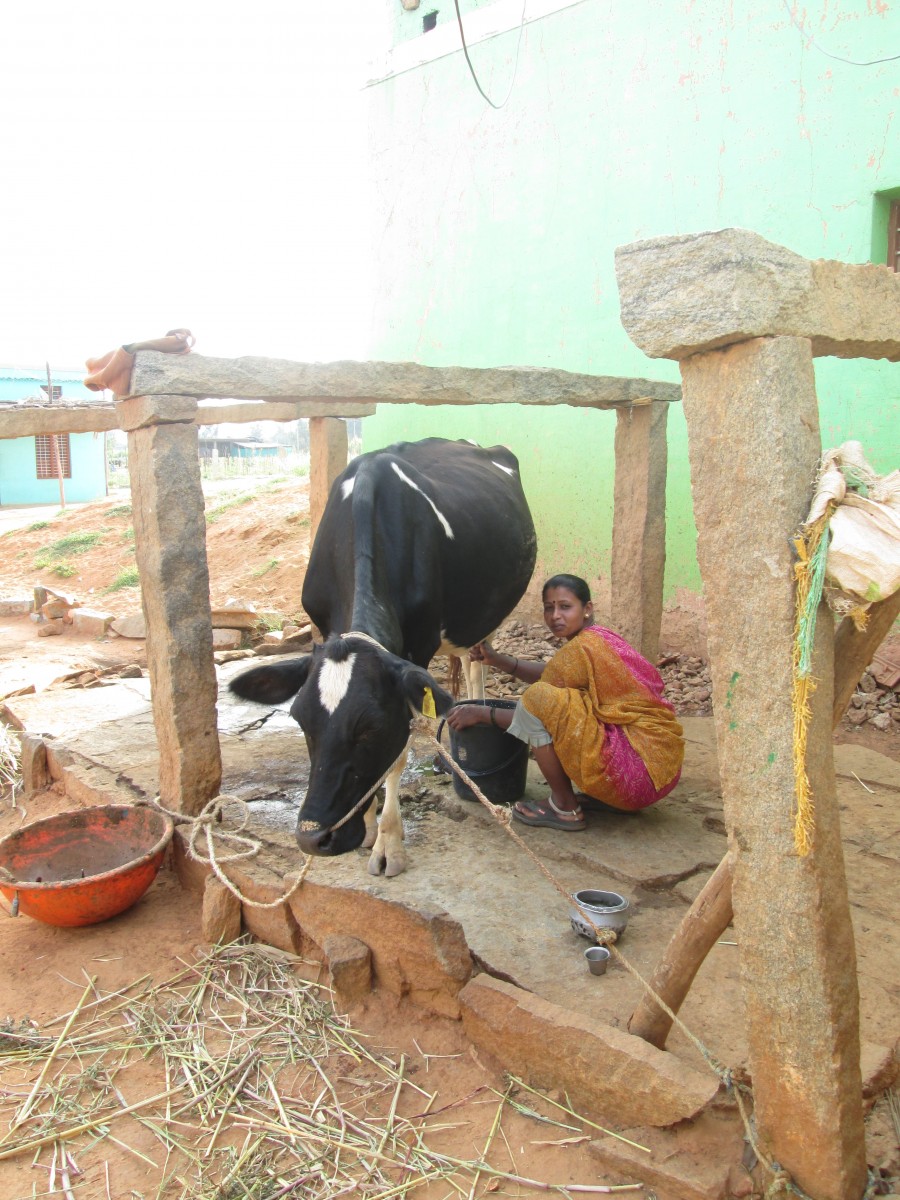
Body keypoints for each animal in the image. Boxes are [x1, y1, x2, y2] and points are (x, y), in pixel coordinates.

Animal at [229, 437, 537, 877]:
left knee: (477, 664)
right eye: (301, 720)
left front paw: (388, 843)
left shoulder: (416, 653)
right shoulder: (322, 625)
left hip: (490, 613)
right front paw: (370, 824)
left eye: (371, 728)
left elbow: (397, 755)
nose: (313, 839)